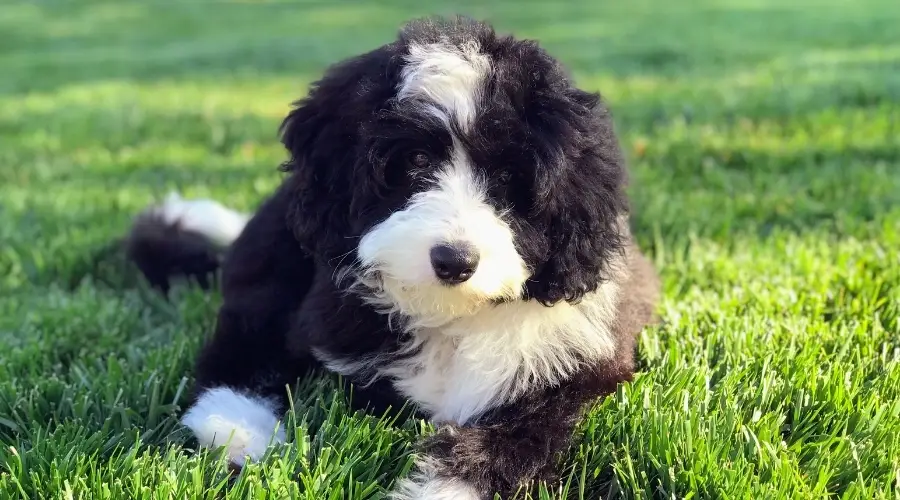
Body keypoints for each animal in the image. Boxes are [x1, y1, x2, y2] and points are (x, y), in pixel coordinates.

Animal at [128, 15, 660, 500]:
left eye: (509, 177)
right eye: (417, 161)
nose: (454, 261)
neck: (448, 319)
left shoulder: (571, 369)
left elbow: (517, 441)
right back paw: (238, 430)